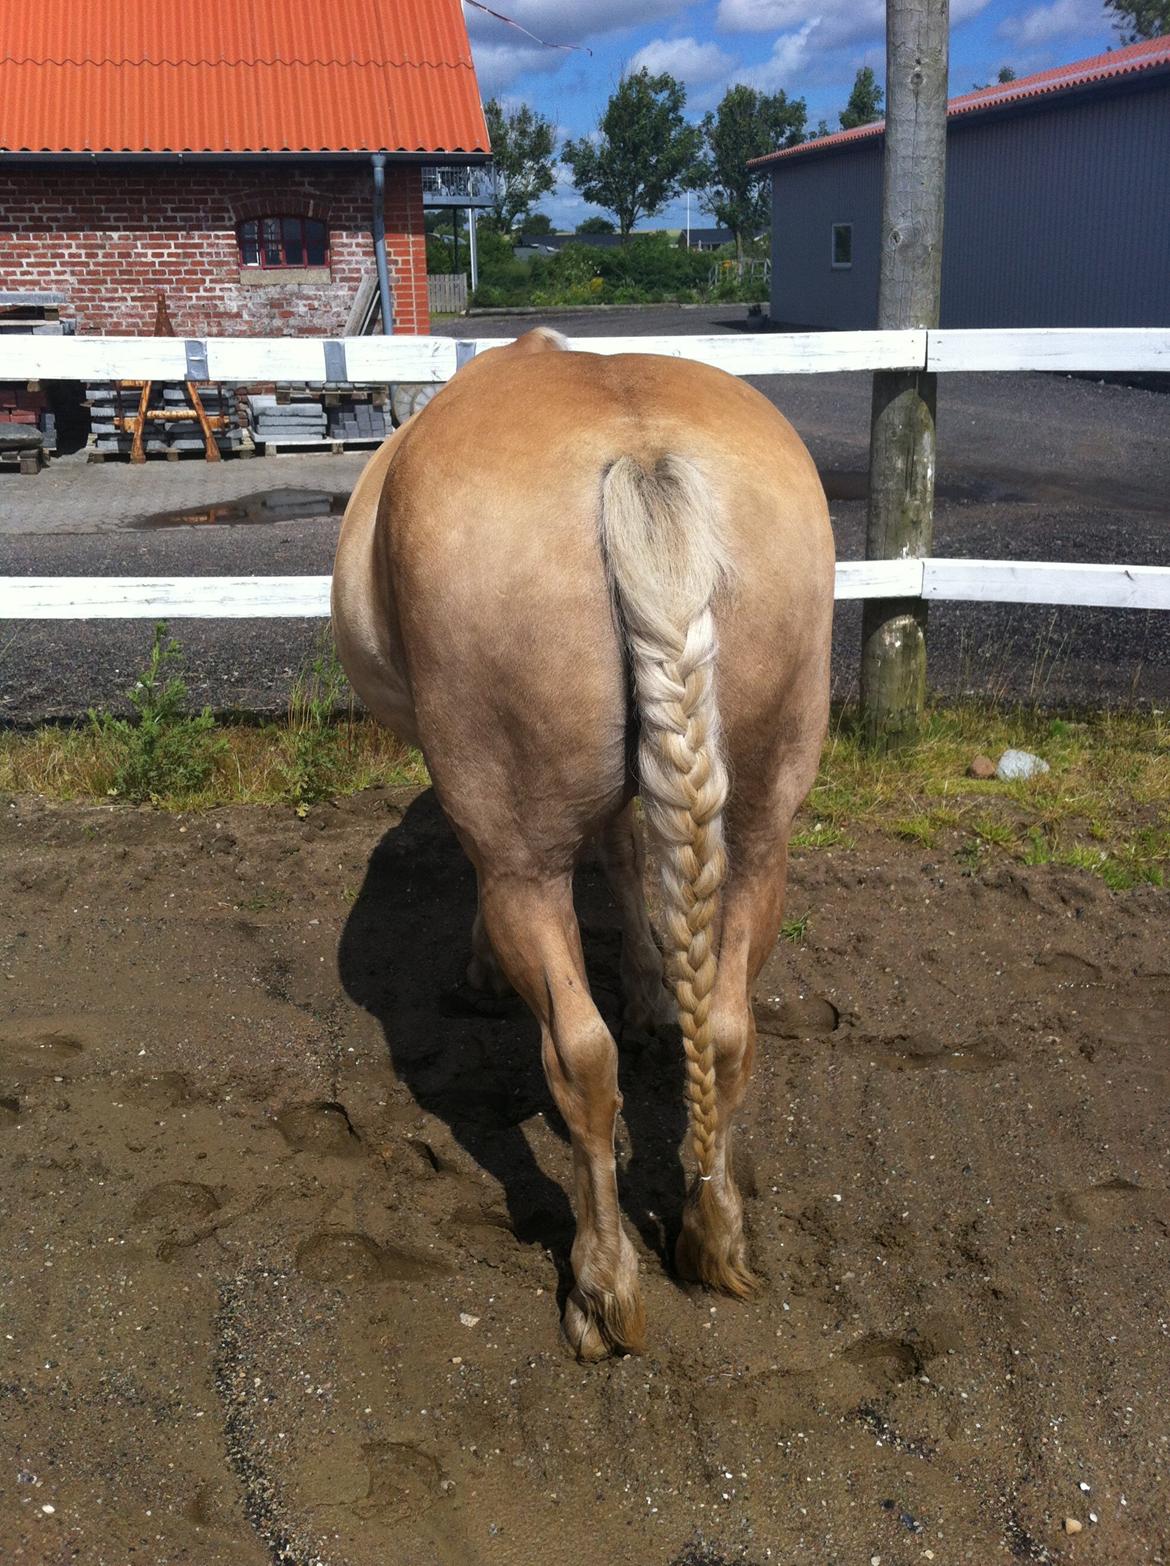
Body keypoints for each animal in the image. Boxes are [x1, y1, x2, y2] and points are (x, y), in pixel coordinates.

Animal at [333, 327, 839, 1359]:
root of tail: (640, 461)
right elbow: (628, 857)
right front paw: (648, 990)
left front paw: (483, 974)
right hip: (761, 829)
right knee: (728, 1028)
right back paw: (712, 1234)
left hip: (522, 856)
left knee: (579, 1059)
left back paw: (604, 1287)